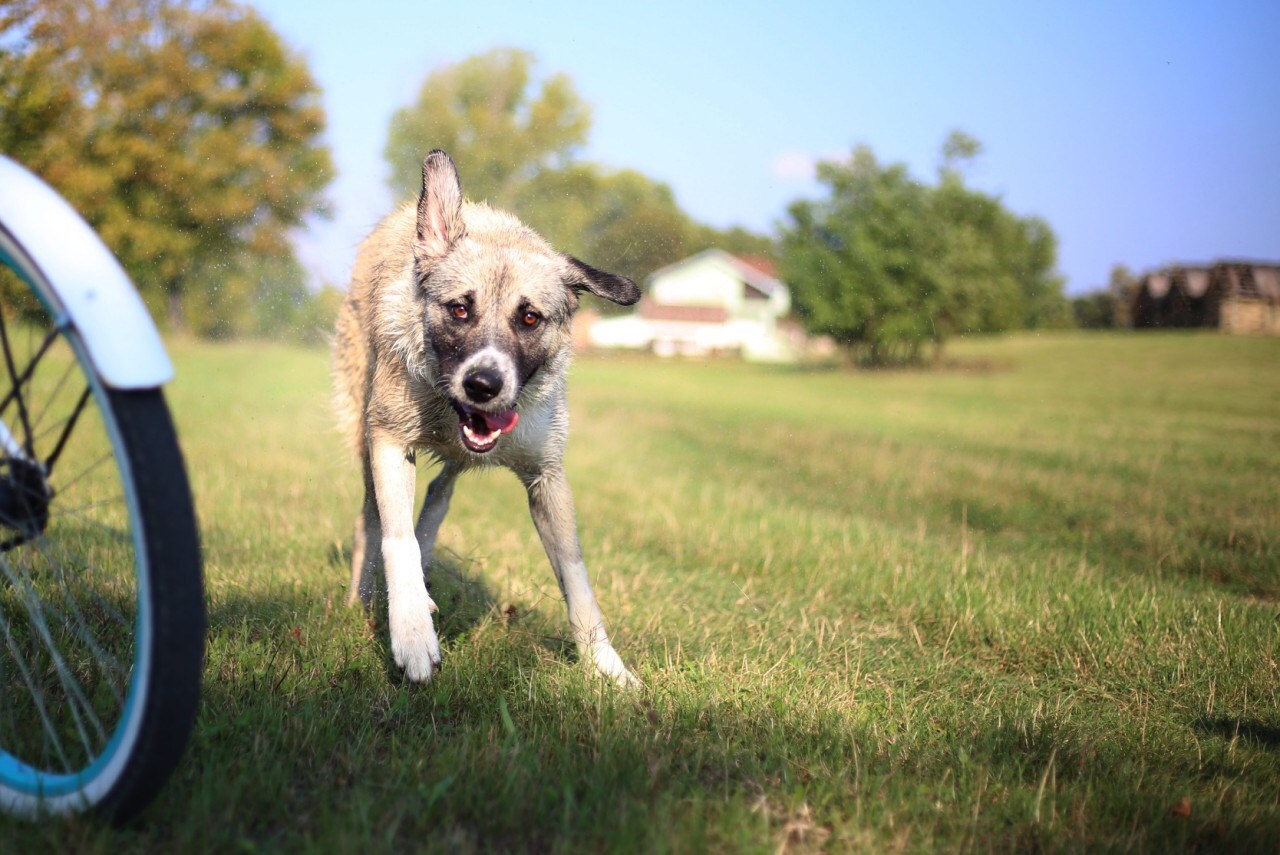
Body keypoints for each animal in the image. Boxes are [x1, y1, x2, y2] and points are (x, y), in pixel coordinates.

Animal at [330, 150, 640, 686]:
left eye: (530, 317)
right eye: (459, 309)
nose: (482, 384)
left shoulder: (546, 476)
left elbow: (577, 577)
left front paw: (607, 667)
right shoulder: (388, 441)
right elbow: (395, 539)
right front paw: (411, 634)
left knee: (441, 491)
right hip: (363, 431)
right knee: (371, 521)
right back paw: (366, 599)